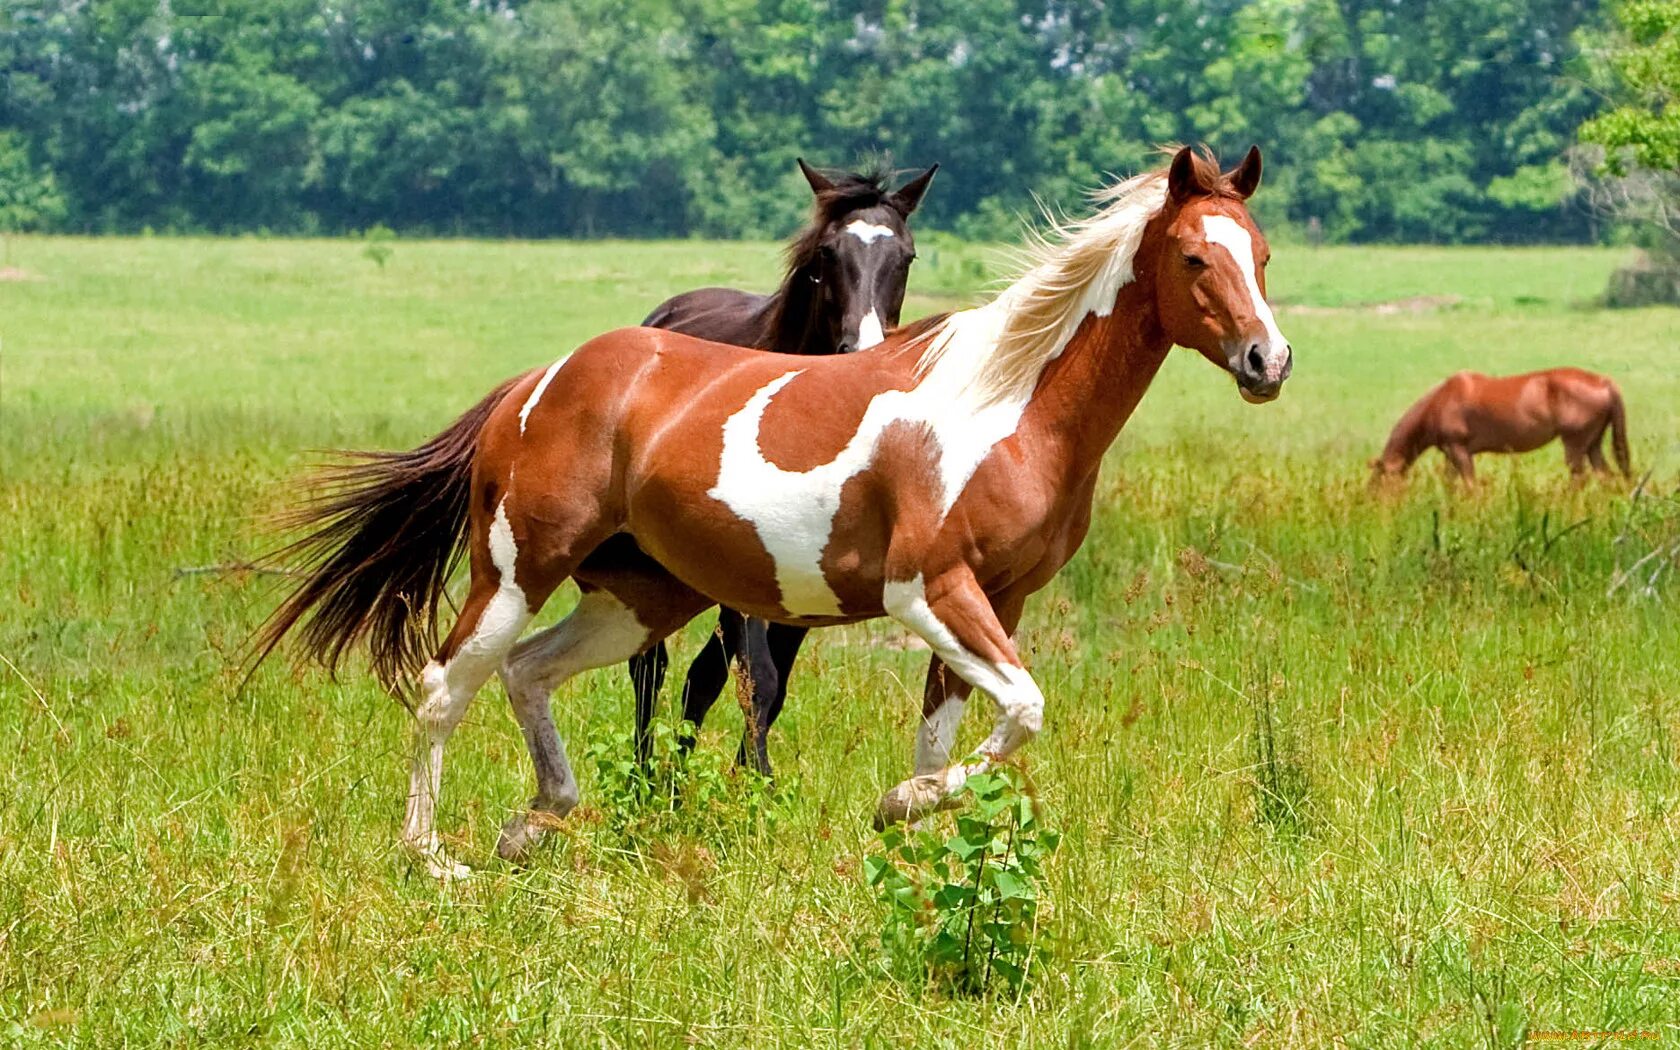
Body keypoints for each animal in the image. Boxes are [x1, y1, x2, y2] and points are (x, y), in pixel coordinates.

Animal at [255, 143, 1290, 873]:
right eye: (1194, 257)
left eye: (1263, 255)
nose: (1267, 362)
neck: (1007, 404)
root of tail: (537, 383)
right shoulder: (930, 590)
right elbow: (1025, 709)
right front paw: (894, 808)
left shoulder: (1001, 599)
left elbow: (945, 740)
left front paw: (917, 842)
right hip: (518, 569)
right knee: (445, 686)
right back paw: (433, 858)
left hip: (639, 596)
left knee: (530, 672)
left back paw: (534, 824)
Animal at [1370, 367, 1619, 483]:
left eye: (1379, 481)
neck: (1440, 401)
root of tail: (1604, 383)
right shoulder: (1451, 455)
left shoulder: (1460, 451)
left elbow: (1471, 487)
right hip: (1593, 445)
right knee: (1607, 477)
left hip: (1575, 445)